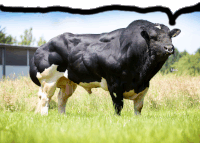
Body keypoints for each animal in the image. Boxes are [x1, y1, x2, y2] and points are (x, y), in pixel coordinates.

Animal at [29, 19, 181, 115]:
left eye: (170, 36)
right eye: (153, 37)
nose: (169, 48)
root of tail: (43, 46)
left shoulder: (144, 86)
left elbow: (138, 107)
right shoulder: (114, 83)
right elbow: (118, 106)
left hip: (68, 82)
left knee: (61, 98)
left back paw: (62, 116)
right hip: (48, 80)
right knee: (45, 98)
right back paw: (44, 115)